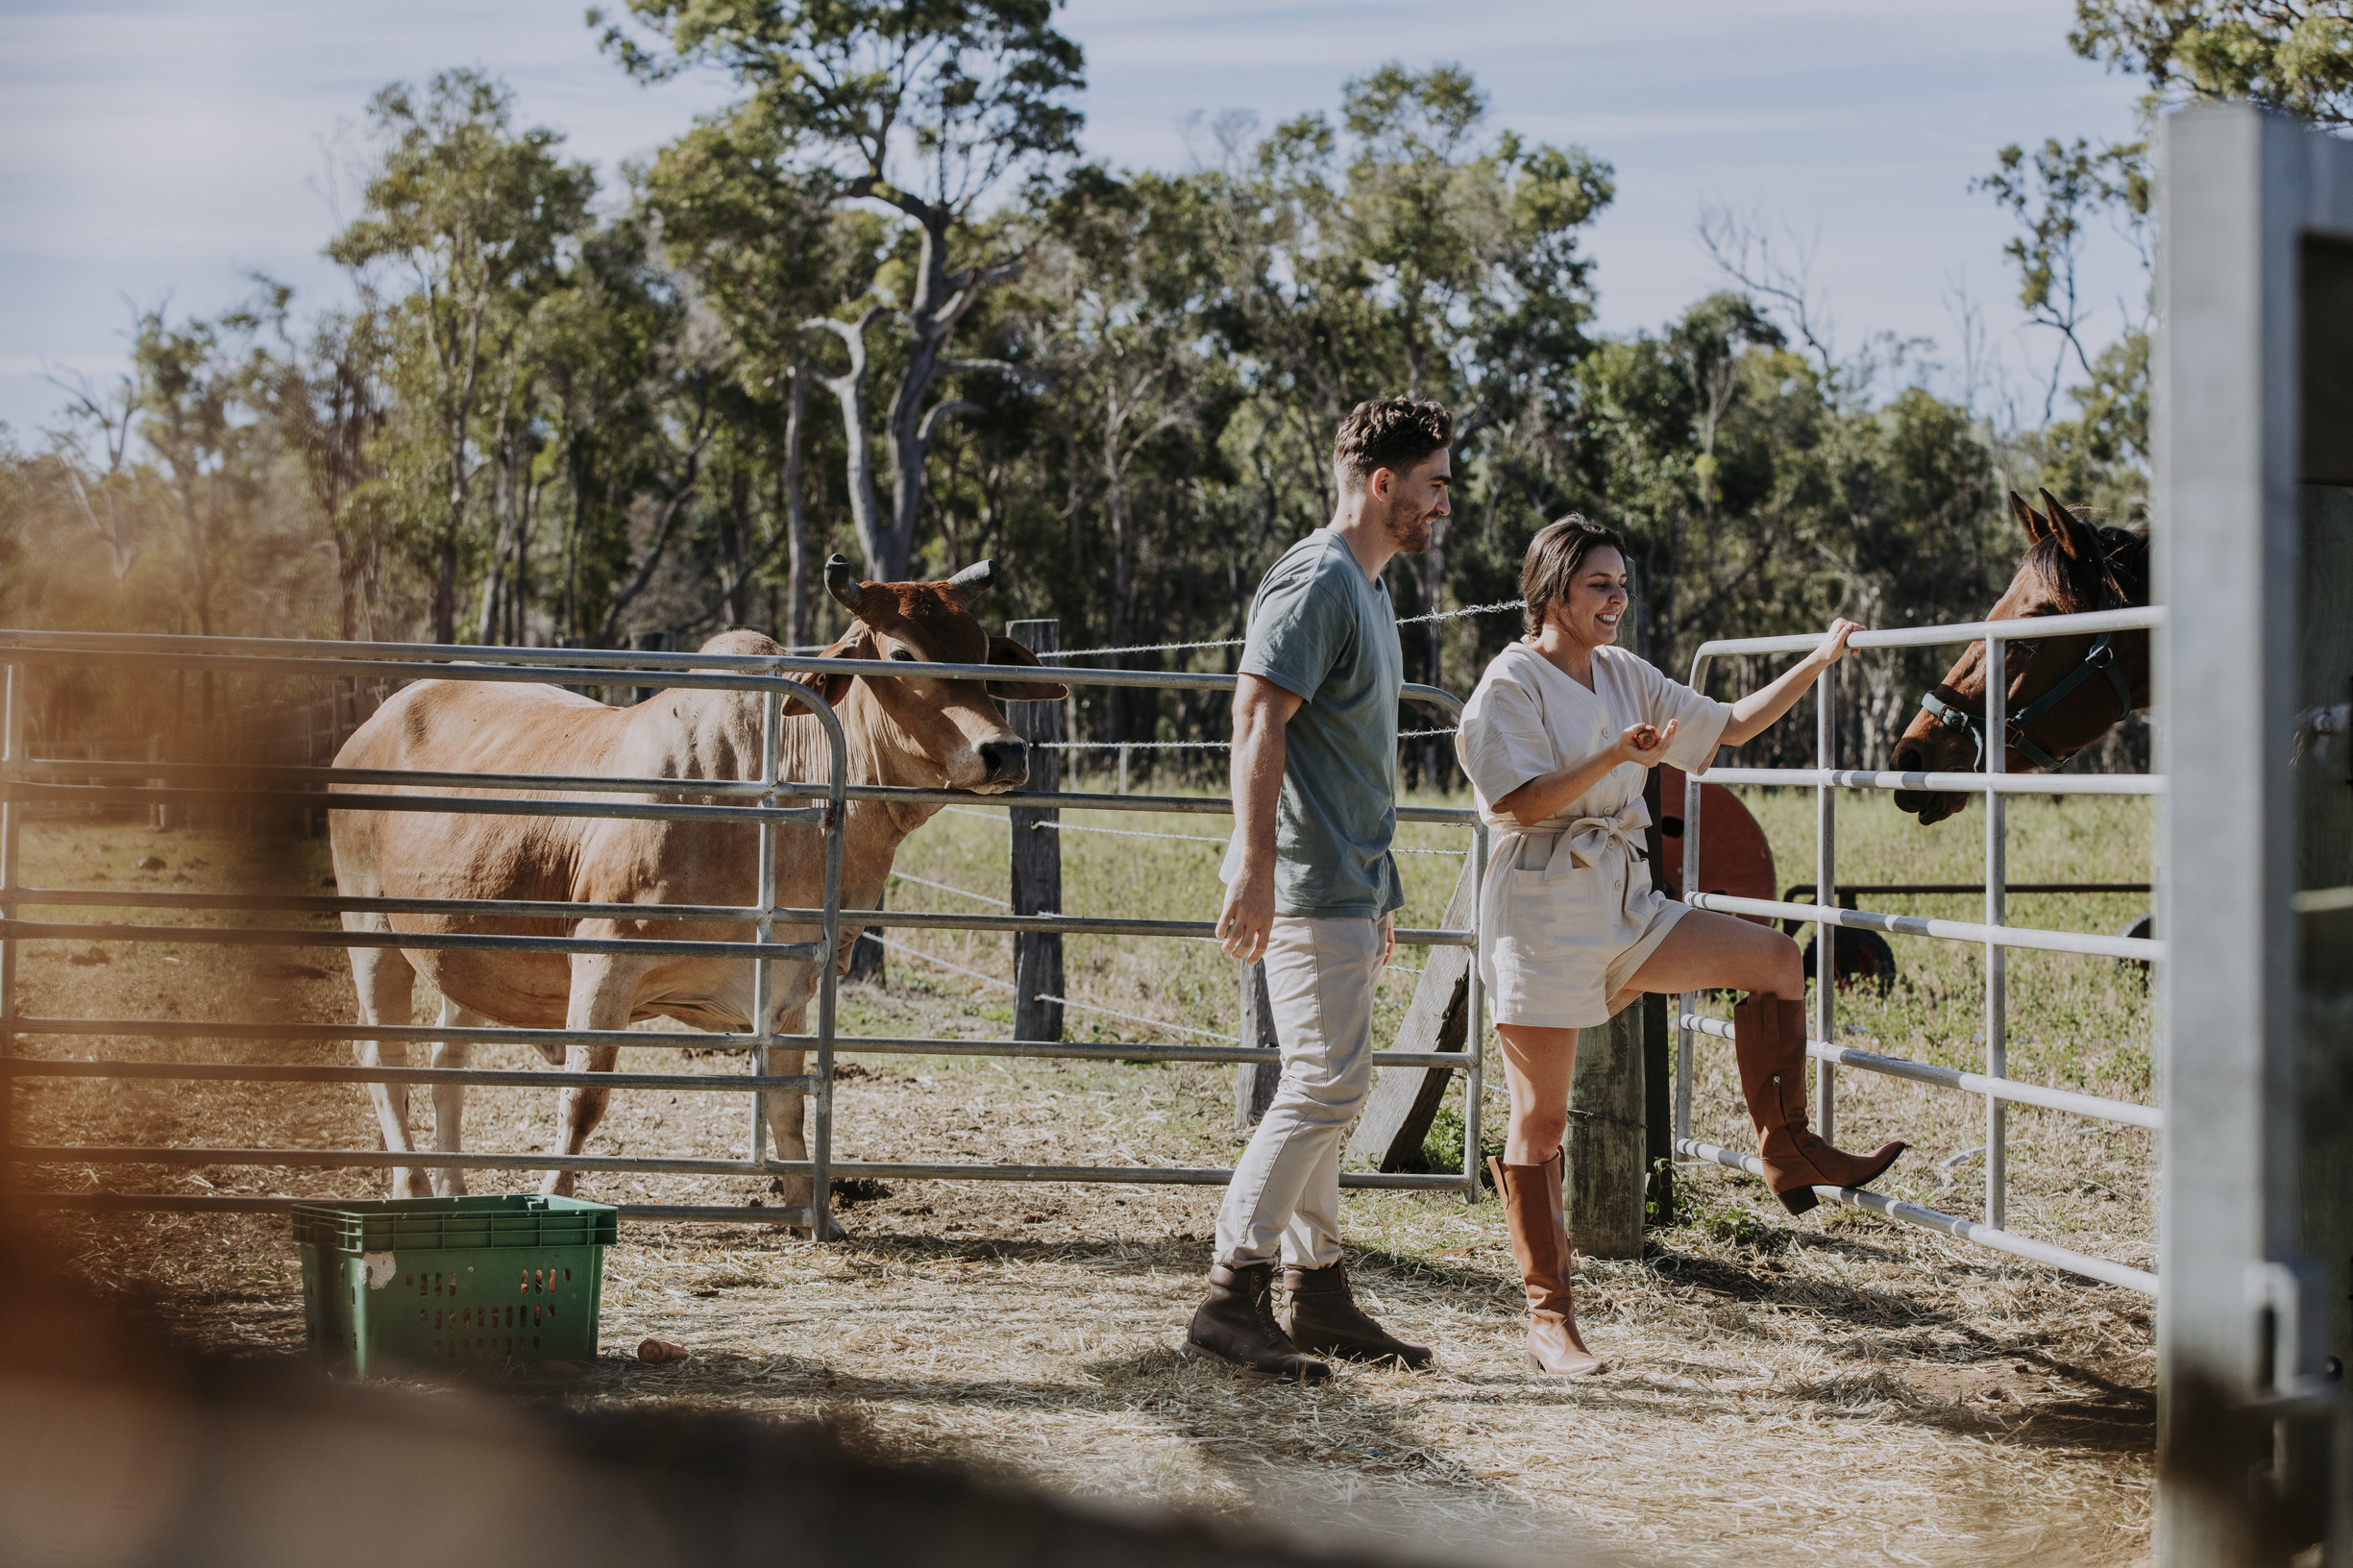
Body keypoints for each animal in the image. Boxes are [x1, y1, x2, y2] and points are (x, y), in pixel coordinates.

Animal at [326, 555, 1065, 1233]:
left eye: (982, 653)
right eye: (900, 654)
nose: (1004, 751)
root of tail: (373, 724)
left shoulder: (790, 984)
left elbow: (788, 1103)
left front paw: (809, 1209)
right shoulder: (604, 958)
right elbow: (583, 1097)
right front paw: (555, 1195)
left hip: (462, 954)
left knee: (448, 1063)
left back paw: (452, 1191)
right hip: (372, 936)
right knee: (383, 1059)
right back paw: (413, 1186)